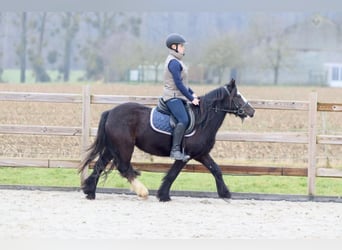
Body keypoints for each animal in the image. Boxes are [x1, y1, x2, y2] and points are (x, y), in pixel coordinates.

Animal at [79, 79, 254, 202]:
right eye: (237, 96)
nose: (252, 111)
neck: (202, 120)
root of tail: (110, 112)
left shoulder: (201, 154)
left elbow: (216, 170)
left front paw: (225, 193)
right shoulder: (185, 155)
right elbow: (172, 174)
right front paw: (163, 195)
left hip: (112, 148)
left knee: (100, 165)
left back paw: (90, 191)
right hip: (124, 147)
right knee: (123, 167)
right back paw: (142, 191)